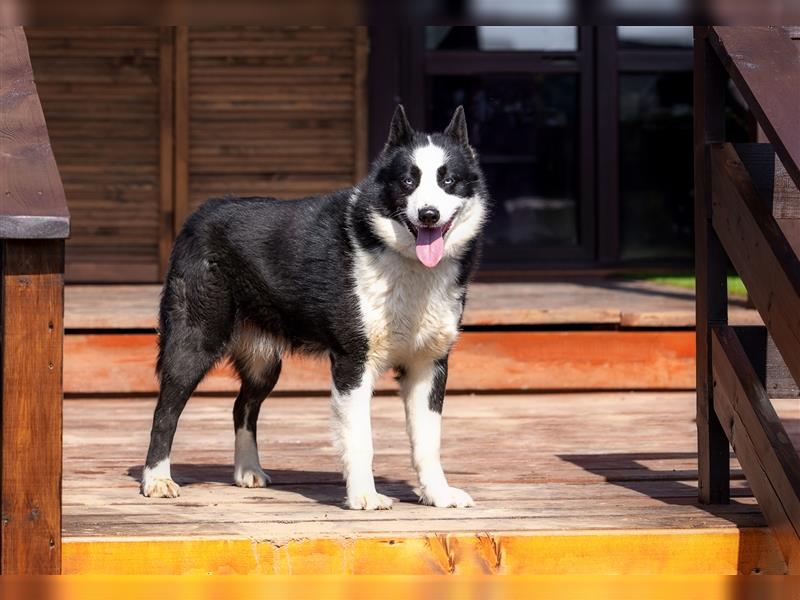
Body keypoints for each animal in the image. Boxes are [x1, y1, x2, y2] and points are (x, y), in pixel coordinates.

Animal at [141, 105, 488, 508]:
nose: (429, 214)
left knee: (243, 406)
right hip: (193, 341)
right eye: (407, 182)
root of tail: (200, 214)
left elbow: (428, 442)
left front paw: (438, 494)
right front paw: (364, 496)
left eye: (449, 182)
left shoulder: (429, 365)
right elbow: (360, 440)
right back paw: (156, 479)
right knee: (165, 410)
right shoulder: (353, 363)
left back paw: (248, 471)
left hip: (263, 362)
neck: (406, 262)